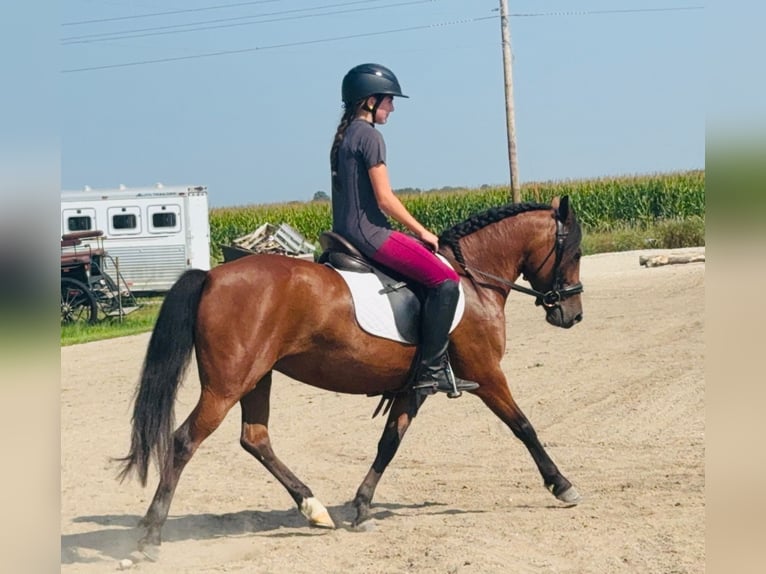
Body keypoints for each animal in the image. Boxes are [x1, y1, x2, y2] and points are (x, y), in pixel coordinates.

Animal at [118, 195, 588, 552]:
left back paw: (314, 509)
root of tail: (212, 276)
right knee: (184, 441)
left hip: (256, 377)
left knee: (255, 438)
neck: (473, 281)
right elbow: (523, 426)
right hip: (226, 385)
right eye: (576, 253)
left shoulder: (415, 387)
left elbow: (389, 443)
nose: (572, 315)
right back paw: (151, 535)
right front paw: (562, 485)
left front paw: (361, 507)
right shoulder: (487, 374)